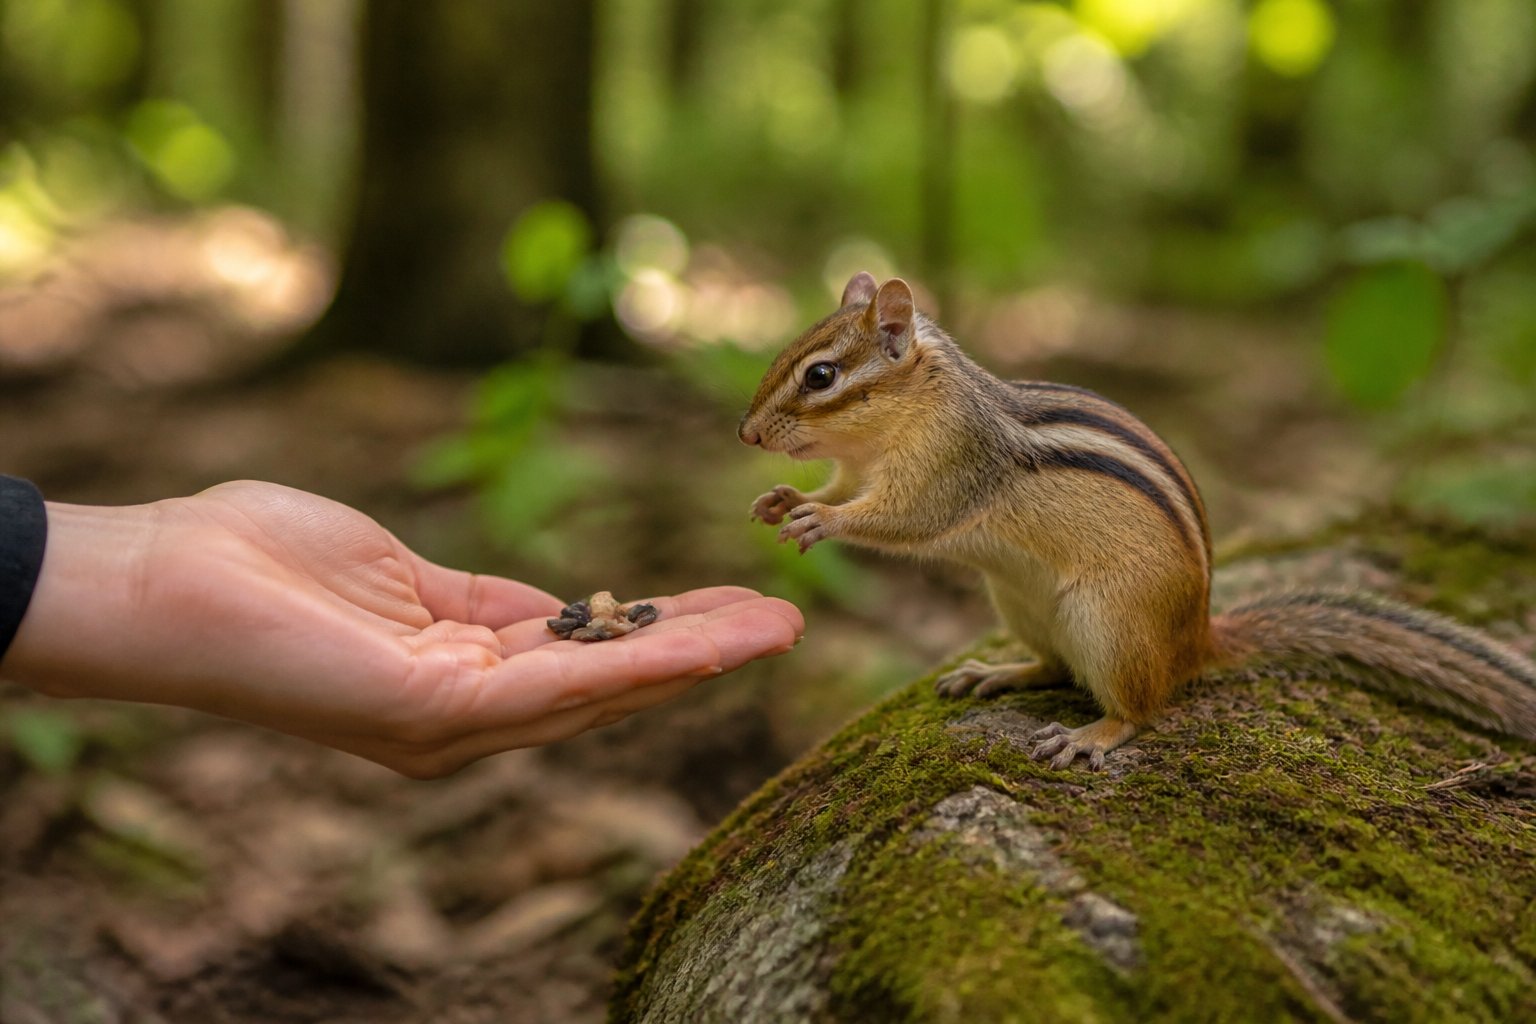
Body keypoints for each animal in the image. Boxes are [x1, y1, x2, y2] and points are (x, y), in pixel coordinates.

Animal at [738, 271, 1536, 769]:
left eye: (821, 376)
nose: (746, 435)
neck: (905, 415)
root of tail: (1196, 640)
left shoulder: (954, 465)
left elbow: (905, 518)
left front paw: (819, 519)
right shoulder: (860, 468)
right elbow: (847, 487)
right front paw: (778, 499)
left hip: (1110, 621)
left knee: (1143, 710)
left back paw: (1091, 736)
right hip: (1021, 603)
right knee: (1053, 665)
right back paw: (997, 673)